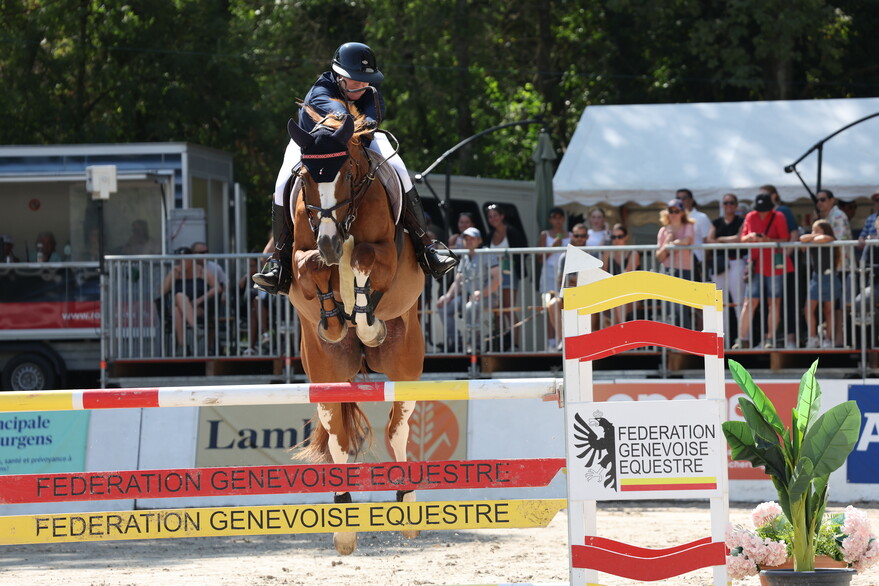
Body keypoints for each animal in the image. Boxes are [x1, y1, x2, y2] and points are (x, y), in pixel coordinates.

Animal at [284, 108, 426, 555]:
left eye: (346, 173)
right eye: (306, 176)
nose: (330, 242)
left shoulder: (384, 254)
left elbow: (362, 256)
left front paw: (367, 324)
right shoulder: (301, 255)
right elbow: (311, 265)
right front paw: (333, 319)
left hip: (405, 365)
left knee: (397, 432)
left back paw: (408, 507)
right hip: (327, 376)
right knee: (340, 442)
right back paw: (344, 525)